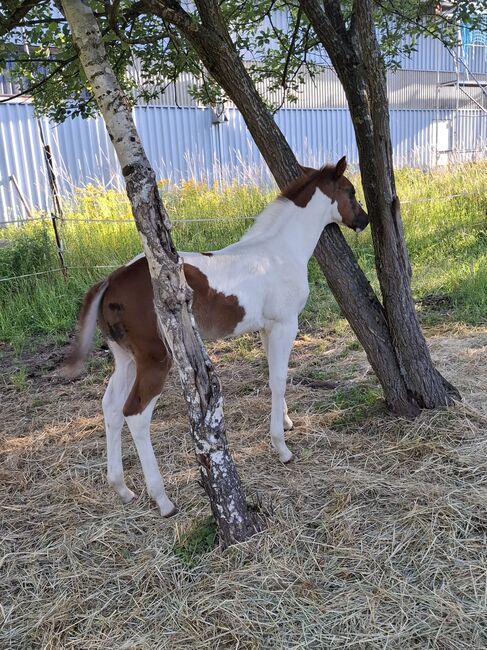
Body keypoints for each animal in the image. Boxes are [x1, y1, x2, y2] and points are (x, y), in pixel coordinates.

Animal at [65, 156, 370, 512]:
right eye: (350, 191)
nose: (363, 220)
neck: (279, 250)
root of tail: (111, 280)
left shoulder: (267, 328)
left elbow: (272, 377)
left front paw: (286, 422)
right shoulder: (286, 325)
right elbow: (280, 378)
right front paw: (282, 448)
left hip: (125, 358)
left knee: (111, 408)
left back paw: (122, 488)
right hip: (156, 358)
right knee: (135, 415)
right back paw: (162, 499)